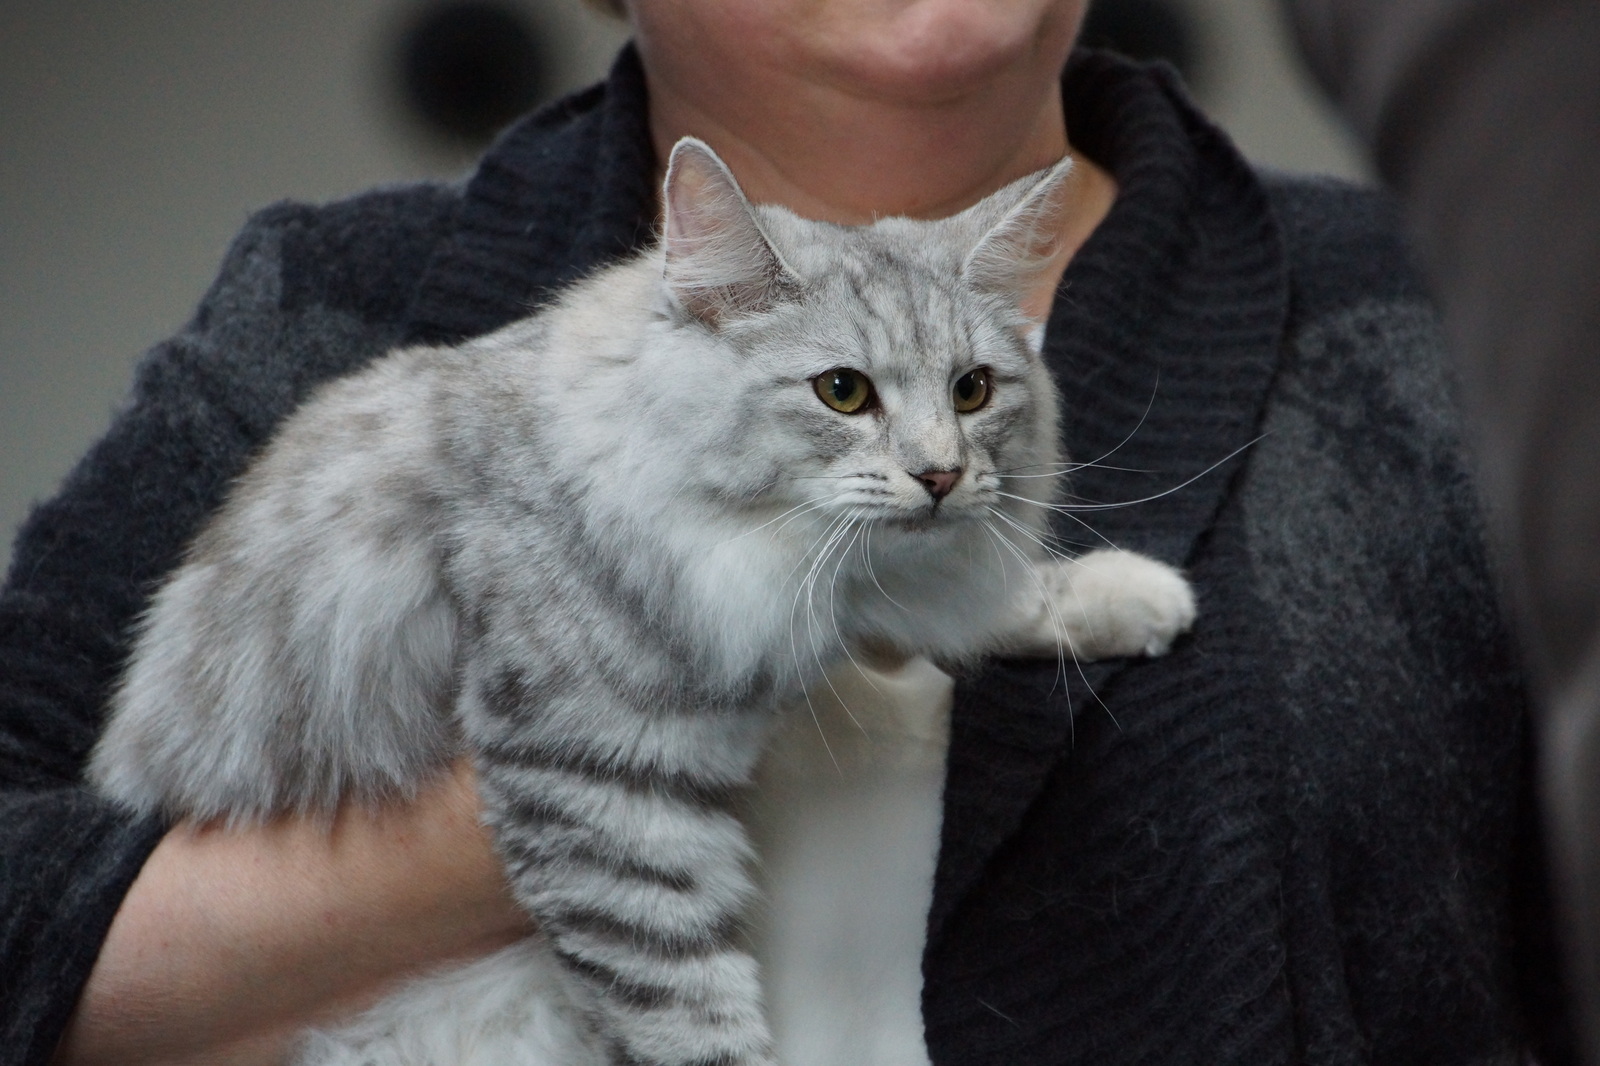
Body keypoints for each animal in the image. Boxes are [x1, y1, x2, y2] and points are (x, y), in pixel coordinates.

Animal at [87, 139, 1190, 1062]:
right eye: (842, 392)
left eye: (972, 391)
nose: (940, 477)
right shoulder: (604, 788)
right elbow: (692, 1017)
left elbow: (989, 600)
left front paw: (1133, 596)